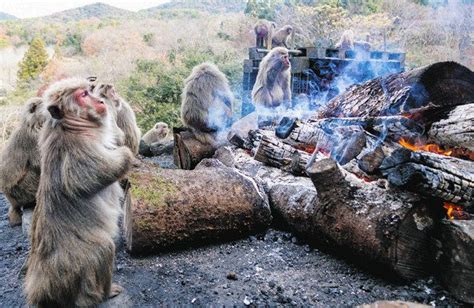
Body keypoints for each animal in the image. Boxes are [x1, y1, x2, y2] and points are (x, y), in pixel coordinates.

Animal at [0, 97, 46, 227]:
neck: (34, 123)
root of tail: (13, 203)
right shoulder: (34, 138)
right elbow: (39, 163)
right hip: (24, 190)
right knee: (35, 172)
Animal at [25, 77, 133, 308]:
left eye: (89, 91)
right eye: (84, 95)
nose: (100, 100)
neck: (72, 126)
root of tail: (42, 288)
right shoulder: (75, 148)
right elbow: (83, 178)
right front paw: (125, 154)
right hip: (72, 267)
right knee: (104, 249)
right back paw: (104, 293)